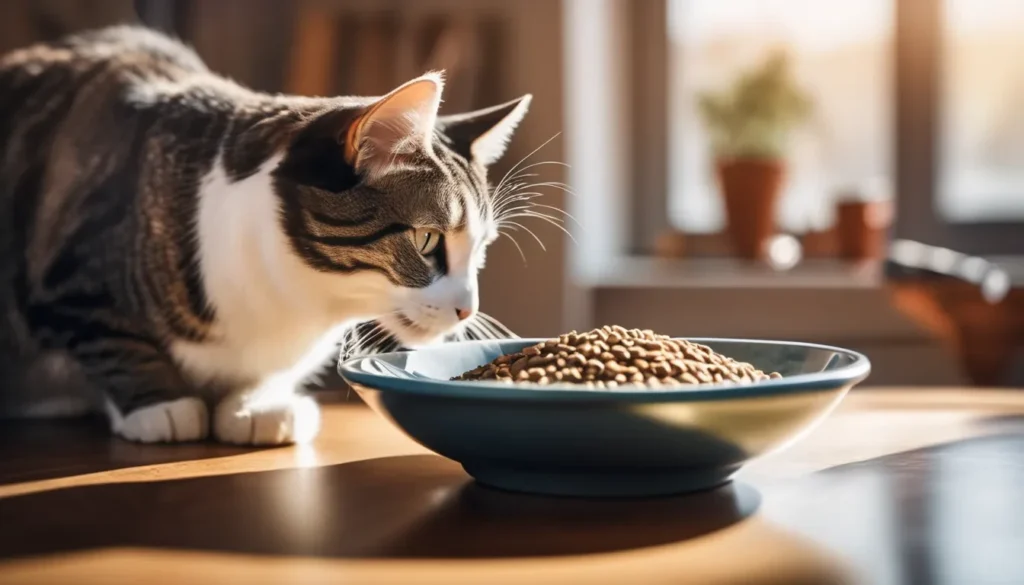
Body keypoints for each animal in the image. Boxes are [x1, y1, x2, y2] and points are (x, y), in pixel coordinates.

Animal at [0, 26, 528, 444]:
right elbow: (111, 340)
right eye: (427, 242)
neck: (301, 301)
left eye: (481, 250)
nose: (468, 309)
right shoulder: (70, 278)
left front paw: (256, 403)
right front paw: (160, 404)